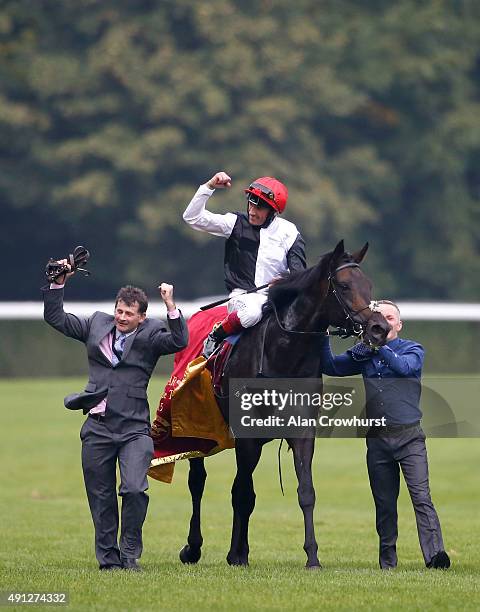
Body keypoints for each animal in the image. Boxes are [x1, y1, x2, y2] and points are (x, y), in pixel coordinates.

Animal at [178, 240, 388, 568]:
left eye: (368, 285)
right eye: (343, 286)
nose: (379, 328)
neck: (284, 353)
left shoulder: (302, 432)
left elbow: (305, 491)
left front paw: (312, 556)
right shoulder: (247, 436)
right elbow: (242, 492)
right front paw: (236, 553)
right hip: (197, 423)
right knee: (197, 480)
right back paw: (193, 547)